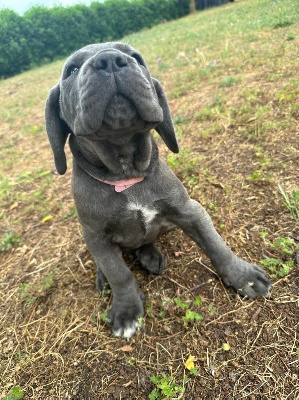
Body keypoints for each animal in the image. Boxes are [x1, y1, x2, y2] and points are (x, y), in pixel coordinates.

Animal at [45, 42, 274, 340]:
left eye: (136, 58)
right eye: (71, 70)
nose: (110, 60)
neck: (126, 174)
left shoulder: (191, 212)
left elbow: (216, 245)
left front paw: (243, 276)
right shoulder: (97, 238)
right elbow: (119, 273)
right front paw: (127, 311)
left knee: (148, 238)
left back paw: (150, 255)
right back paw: (104, 277)